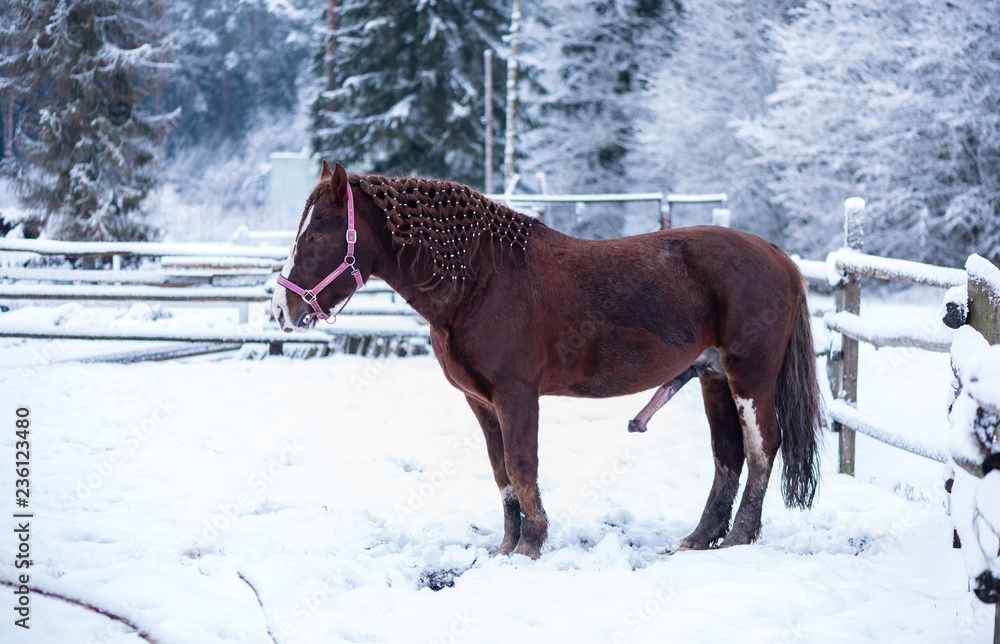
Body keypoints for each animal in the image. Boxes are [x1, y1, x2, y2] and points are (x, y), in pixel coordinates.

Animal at [274, 162, 820, 560]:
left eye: (316, 234)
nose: (283, 310)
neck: (481, 279)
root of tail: (778, 255)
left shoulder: (517, 395)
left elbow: (522, 466)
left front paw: (531, 546)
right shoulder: (482, 403)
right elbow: (502, 475)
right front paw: (506, 547)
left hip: (749, 376)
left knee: (762, 447)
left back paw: (739, 539)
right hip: (714, 377)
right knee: (727, 455)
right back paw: (700, 538)